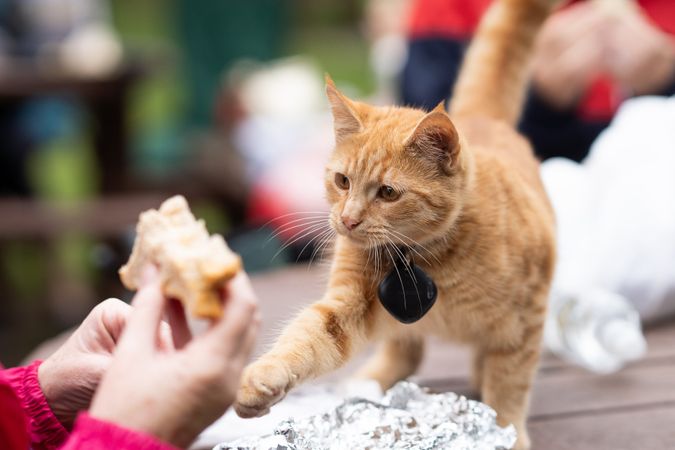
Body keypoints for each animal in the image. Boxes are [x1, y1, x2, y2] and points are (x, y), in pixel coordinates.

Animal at [235, 0, 556, 446]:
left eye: (387, 193)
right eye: (343, 181)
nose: (347, 220)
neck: (427, 257)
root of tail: (479, 119)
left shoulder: (525, 320)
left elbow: (510, 380)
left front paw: (507, 429)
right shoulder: (347, 304)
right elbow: (308, 337)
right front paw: (265, 377)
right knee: (406, 348)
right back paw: (371, 380)